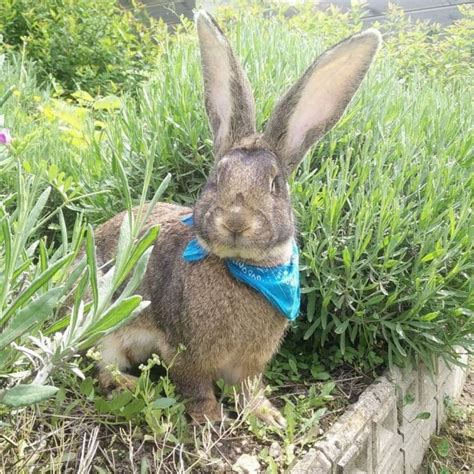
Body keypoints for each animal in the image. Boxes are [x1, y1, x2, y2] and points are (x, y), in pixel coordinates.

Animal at [93, 10, 382, 426]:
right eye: (216, 178)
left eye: (276, 185)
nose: (236, 221)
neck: (247, 268)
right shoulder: (185, 352)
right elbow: (195, 386)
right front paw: (211, 419)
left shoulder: (249, 362)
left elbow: (248, 388)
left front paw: (266, 415)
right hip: (106, 329)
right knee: (103, 366)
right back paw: (131, 385)